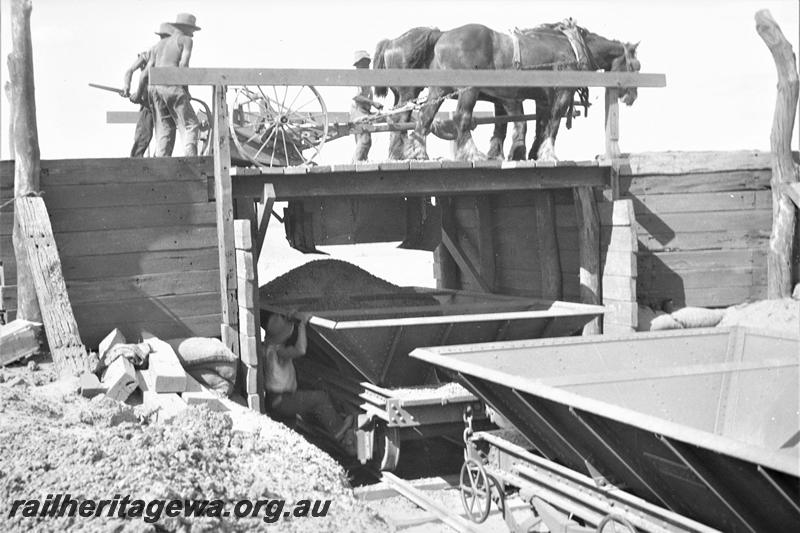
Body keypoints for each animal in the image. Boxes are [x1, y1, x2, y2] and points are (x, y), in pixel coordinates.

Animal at [410, 20, 640, 161]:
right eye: (635, 66)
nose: (632, 97)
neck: (573, 48)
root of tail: (443, 35)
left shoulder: (544, 97)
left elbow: (541, 123)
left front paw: (534, 152)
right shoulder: (563, 92)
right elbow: (554, 122)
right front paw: (548, 154)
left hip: (439, 89)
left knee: (425, 116)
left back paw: (419, 153)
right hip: (468, 90)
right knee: (461, 117)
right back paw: (473, 154)